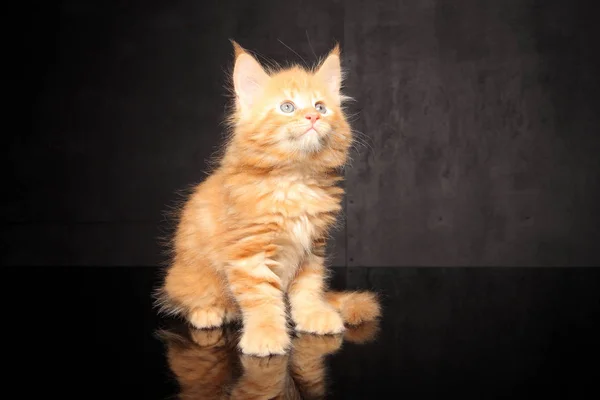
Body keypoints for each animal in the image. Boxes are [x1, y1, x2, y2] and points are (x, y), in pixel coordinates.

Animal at [155, 40, 380, 356]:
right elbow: (261, 298)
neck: (295, 178)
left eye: (321, 107)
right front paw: (266, 335)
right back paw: (208, 313)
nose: (313, 117)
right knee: (185, 300)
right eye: (288, 107)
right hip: (186, 277)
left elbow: (308, 289)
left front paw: (313, 315)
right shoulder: (250, 251)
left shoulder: (312, 248)